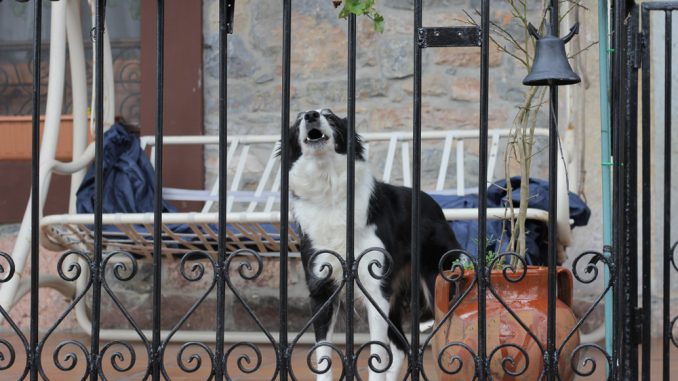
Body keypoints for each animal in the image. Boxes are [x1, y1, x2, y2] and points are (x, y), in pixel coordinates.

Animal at [282, 108, 462, 378]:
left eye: (330, 117)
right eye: (298, 118)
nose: (311, 115)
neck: (328, 189)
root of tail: (434, 204)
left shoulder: (376, 288)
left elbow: (377, 355)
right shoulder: (321, 289)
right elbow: (323, 354)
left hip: (440, 280)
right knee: (401, 347)